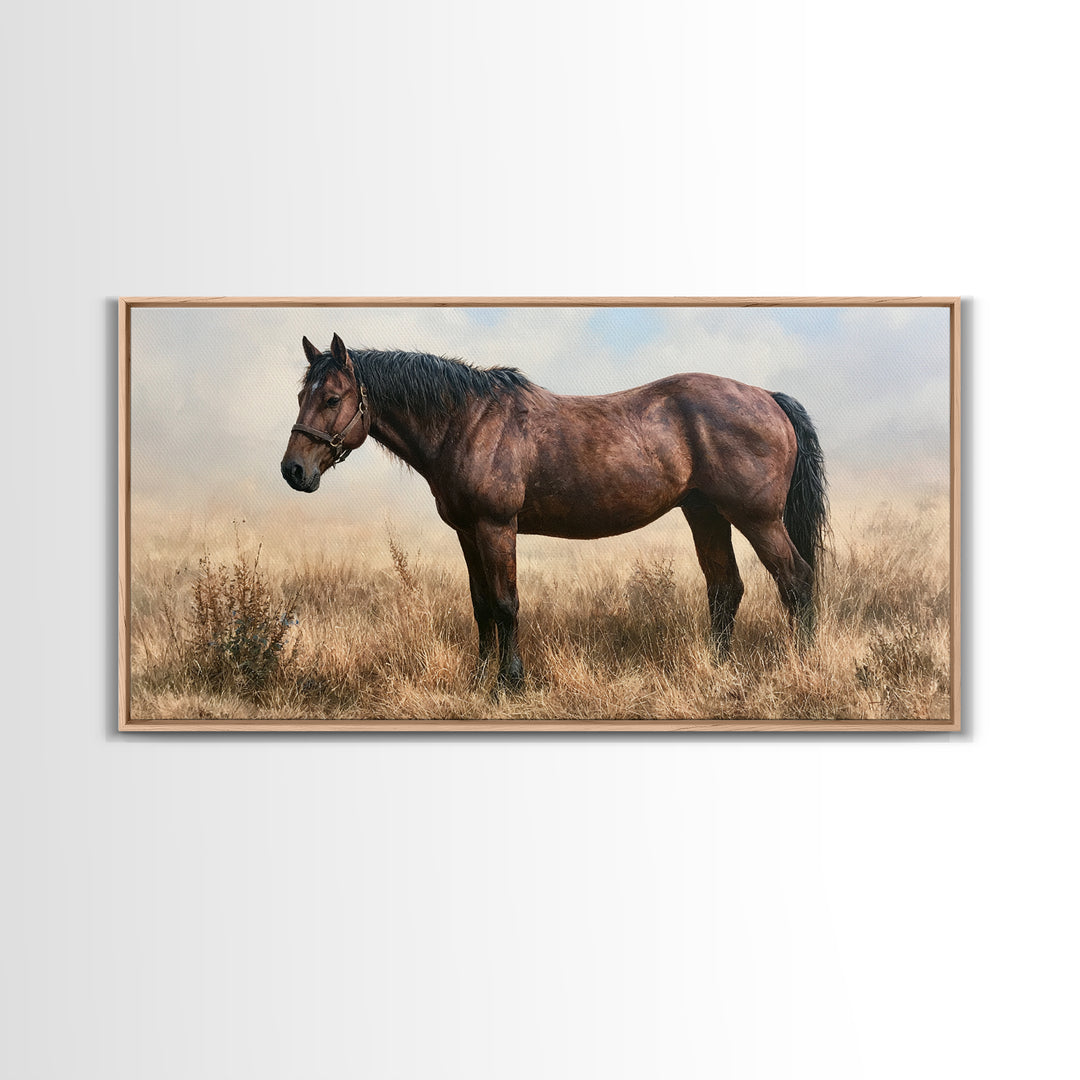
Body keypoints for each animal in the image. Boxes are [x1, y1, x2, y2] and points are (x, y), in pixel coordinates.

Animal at [281, 333, 828, 692]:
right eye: (302, 394)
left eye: (332, 398)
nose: (293, 470)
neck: (468, 422)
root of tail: (768, 398)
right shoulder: (467, 532)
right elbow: (482, 607)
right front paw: (478, 680)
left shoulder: (496, 528)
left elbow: (506, 604)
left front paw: (510, 683)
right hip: (706, 514)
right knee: (725, 589)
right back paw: (717, 669)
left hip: (757, 519)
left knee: (796, 580)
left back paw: (800, 665)